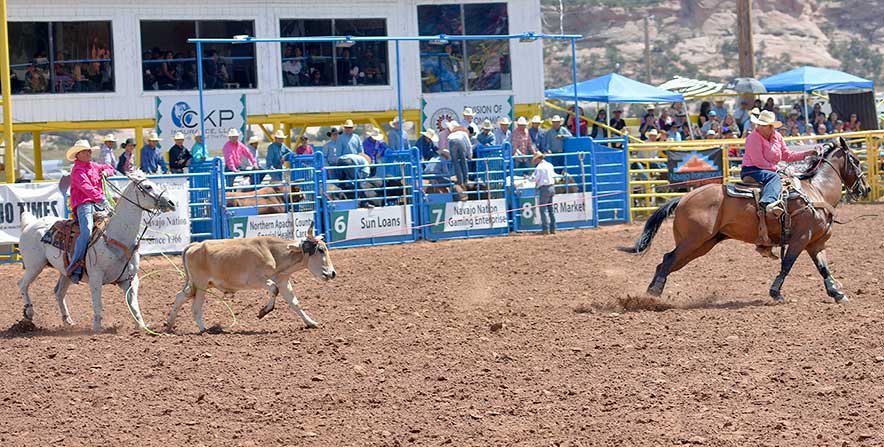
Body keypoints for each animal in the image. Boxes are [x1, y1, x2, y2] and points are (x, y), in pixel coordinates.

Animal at [628, 138, 872, 302]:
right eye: (856, 160)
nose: (866, 188)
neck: (816, 192)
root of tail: (684, 198)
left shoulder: (816, 242)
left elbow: (823, 268)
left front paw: (837, 293)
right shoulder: (800, 238)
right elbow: (787, 264)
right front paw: (775, 293)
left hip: (702, 244)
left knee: (666, 262)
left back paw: (652, 293)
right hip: (693, 240)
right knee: (669, 260)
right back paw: (652, 295)